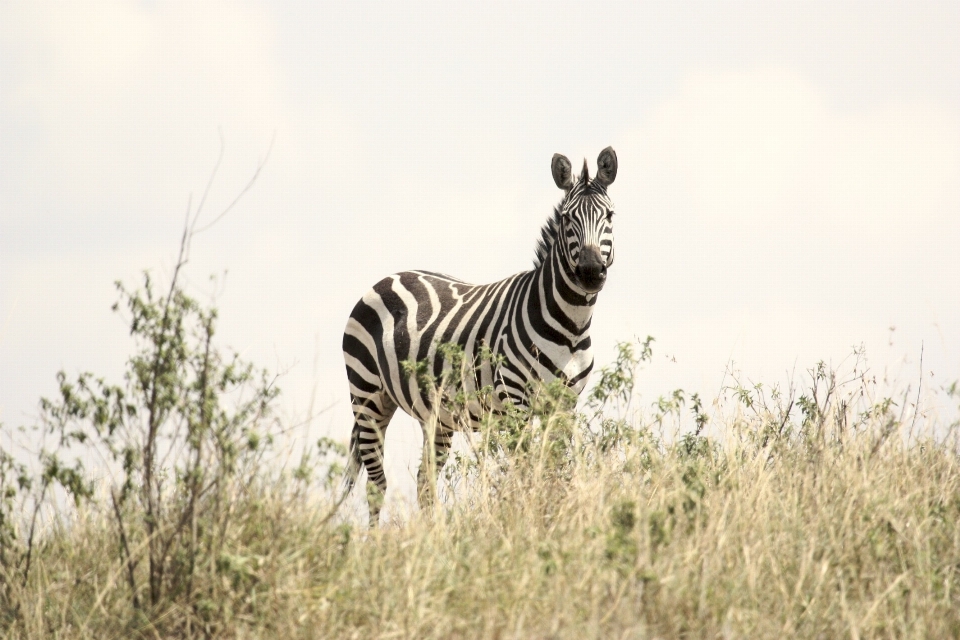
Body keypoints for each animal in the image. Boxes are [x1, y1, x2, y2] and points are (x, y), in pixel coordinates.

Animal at [342, 149, 620, 524]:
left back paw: (434, 536)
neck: (571, 327)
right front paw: (526, 523)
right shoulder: (516, 400)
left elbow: (556, 471)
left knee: (425, 482)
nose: (590, 272)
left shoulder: (564, 404)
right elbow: (525, 472)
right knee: (376, 484)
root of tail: (388, 277)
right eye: (566, 219)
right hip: (367, 396)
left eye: (609, 215)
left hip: (435, 416)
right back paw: (374, 539)